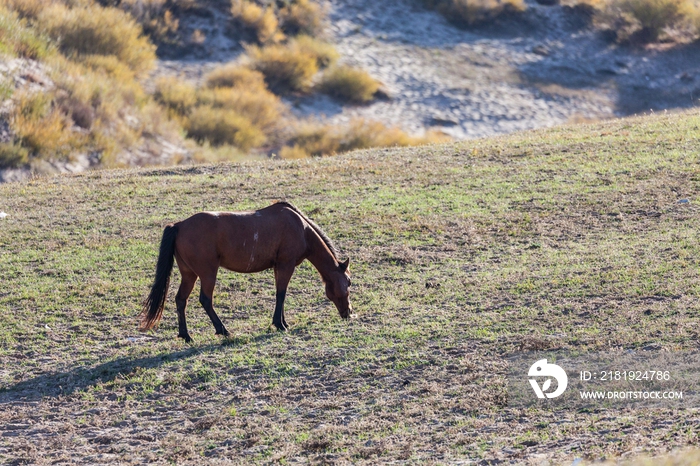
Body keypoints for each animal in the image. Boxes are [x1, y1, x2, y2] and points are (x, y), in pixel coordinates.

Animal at [140, 201, 352, 342]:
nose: (349, 313)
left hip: (189, 274)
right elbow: (281, 294)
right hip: (208, 274)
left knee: (180, 300)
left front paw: (282, 322)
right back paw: (223, 330)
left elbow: (280, 294)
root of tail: (179, 225)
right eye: (348, 283)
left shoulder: (278, 267)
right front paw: (279, 324)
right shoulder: (286, 265)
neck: (301, 227)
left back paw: (186, 335)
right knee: (205, 300)